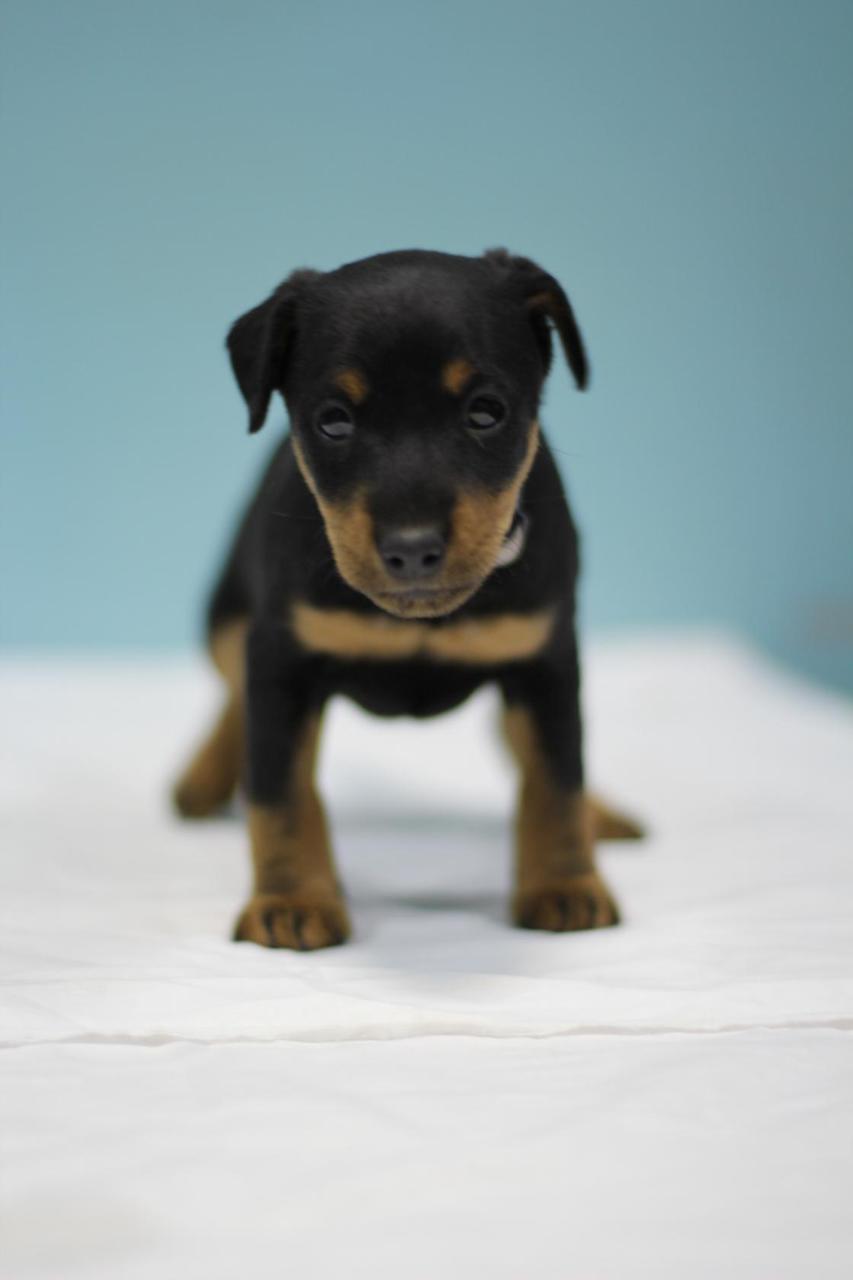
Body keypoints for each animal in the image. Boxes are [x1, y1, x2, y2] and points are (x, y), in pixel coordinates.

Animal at [173, 248, 643, 950]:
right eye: (333, 421)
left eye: (486, 411)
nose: (413, 548)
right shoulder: (283, 660)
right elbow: (281, 791)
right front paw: (291, 901)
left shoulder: (546, 661)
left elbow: (556, 780)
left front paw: (565, 886)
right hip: (228, 616)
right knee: (234, 694)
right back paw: (203, 777)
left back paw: (600, 813)